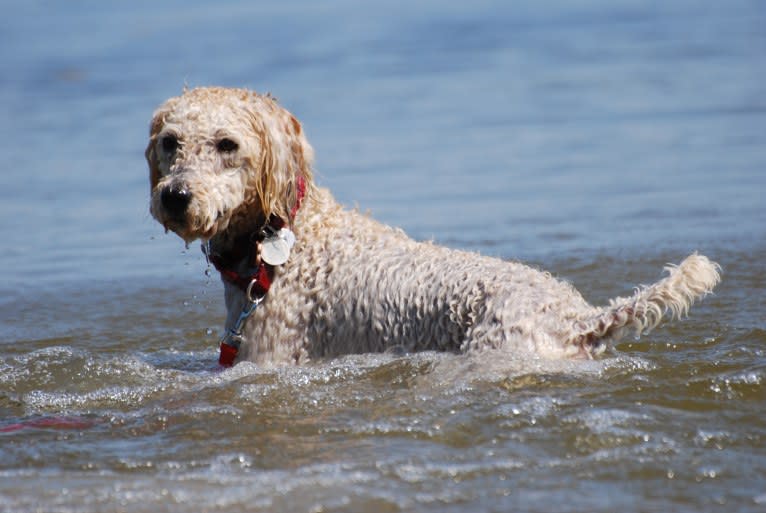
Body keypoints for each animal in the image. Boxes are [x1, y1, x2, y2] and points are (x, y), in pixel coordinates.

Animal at [147, 89, 724, 368]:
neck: (284, 238)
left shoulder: (268, 361)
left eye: (227, 144)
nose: (174, 197)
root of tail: (576, 320)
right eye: (170, 142)